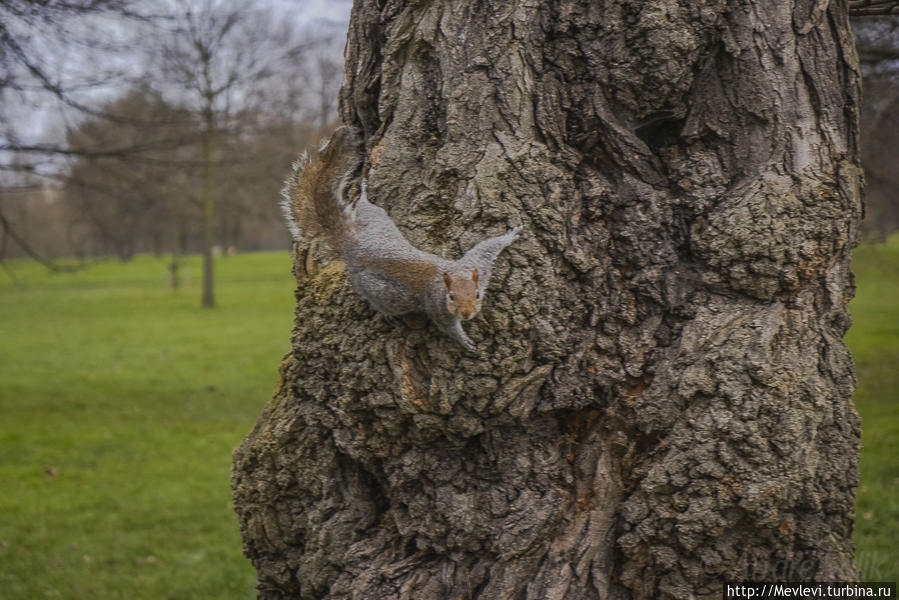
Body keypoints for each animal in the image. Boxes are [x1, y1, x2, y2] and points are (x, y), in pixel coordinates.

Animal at [282, 127, 520, 352]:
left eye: (478, 294)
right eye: (451, 297)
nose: (467, 313)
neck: (454, 276)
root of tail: (354, 246)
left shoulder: (476, 266)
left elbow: (485, 248)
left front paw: (511, 235)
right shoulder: (437, 306)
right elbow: (447, 326)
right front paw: (464, 341)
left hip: (379, 224)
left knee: (368, 210)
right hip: (373, 284)